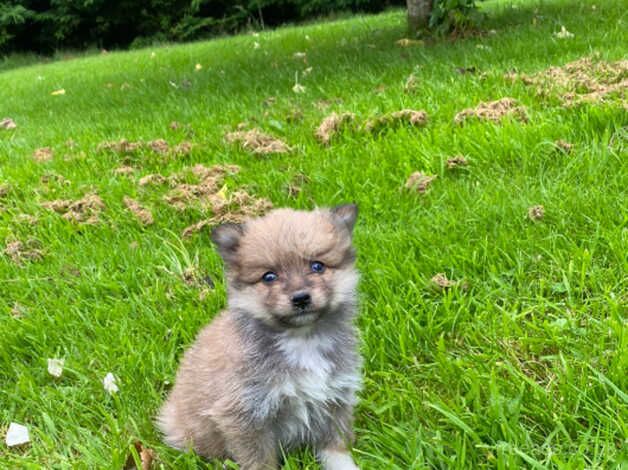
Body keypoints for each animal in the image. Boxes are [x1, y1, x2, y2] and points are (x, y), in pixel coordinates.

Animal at [157, 204, 360, 468]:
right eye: (269, 276)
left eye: (317, 266)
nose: (300, 298)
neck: (302, 339)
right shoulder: (245, 416)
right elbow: (259, 460)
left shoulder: (336, 397)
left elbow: (335, 445)